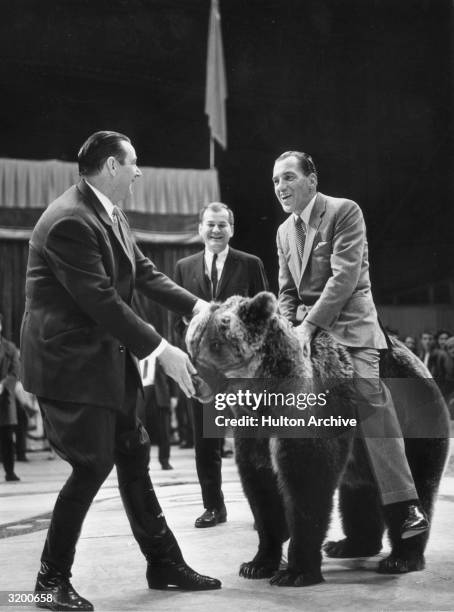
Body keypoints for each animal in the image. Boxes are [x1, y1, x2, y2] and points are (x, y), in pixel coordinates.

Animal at [186, 292, 448, 588]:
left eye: (215, 343)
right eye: (192, 343)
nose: (194, 380)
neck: (266, 396)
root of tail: (422, 365)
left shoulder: (309, 418)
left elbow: (307, 485)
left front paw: (295, 571)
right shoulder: (253, 434)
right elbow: (262, 492)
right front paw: (257, 564)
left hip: (415, 420)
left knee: (415, 479)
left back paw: (402, 555)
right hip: (361, 456)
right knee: (359, 492)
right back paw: (348, 545)